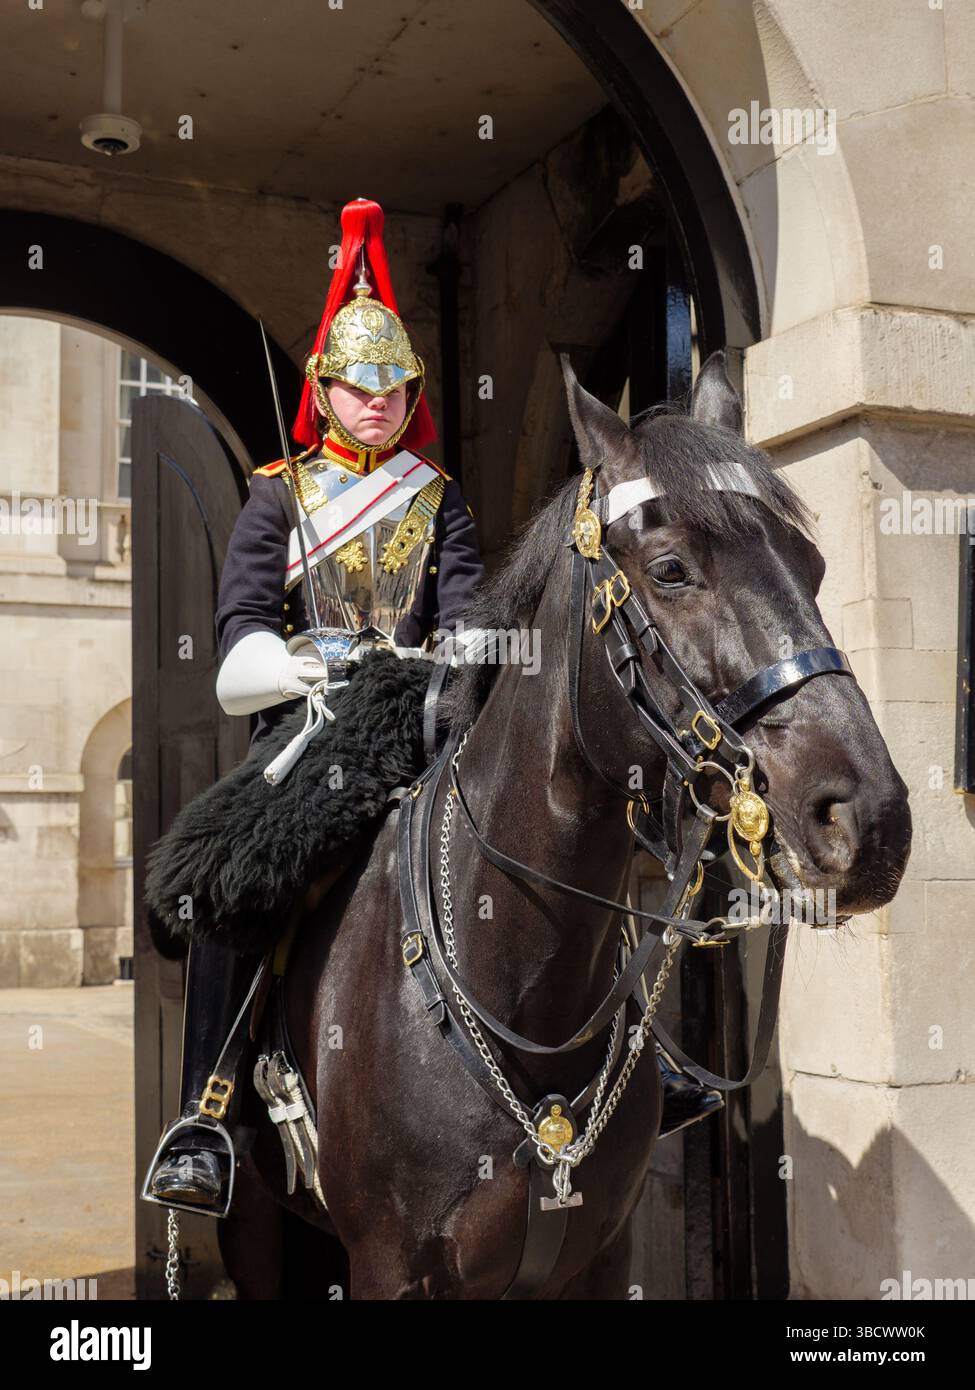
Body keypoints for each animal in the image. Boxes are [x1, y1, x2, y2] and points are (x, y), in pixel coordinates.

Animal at [218, 352, 911, 1300]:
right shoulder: (390, 1265)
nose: (868, 820)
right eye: (670, 569)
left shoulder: (594, 1255)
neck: (525, 982)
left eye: (811, 563)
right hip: (254, 1220)